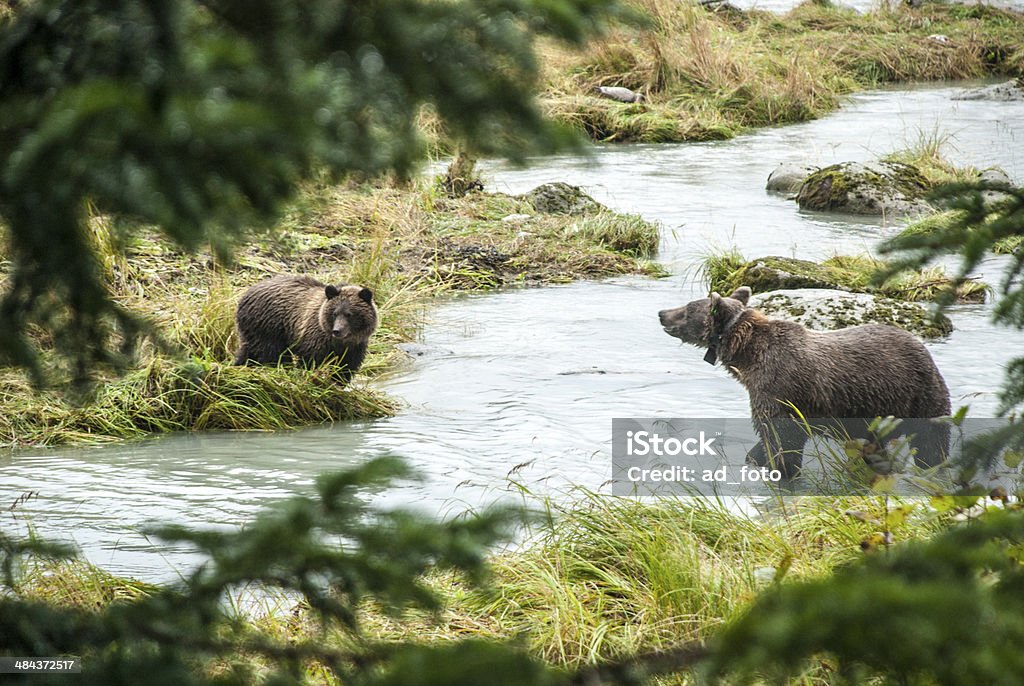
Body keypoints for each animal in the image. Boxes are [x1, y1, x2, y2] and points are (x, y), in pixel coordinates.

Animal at [234, 274, 378, 380]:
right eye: (335, 313)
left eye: (349, 314)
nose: (337, 330)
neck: (340, 342)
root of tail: (244, 295)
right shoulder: (315, 337)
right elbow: (309, 360)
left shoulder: (355, 347)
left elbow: (346, 367)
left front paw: (337, 381)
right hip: (269, 327)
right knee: (273, 352)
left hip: (253, 330)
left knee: (248, 350)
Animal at [655, 286, 950, 475]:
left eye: (687, 308)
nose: (661, 313)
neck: (748, 356)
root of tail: (923, 348)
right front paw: (755, 459)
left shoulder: (780, 388)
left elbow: (782, 440)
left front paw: (781, 470)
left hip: (917, 395)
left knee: (931, 444)